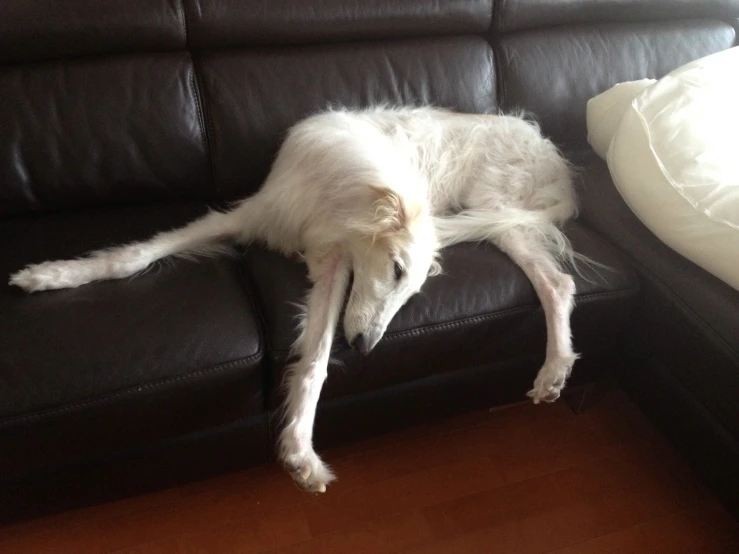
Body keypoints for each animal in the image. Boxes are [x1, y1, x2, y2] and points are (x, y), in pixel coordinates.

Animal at [8, 104, 580, 492]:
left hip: (499, 212)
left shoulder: (332, 263)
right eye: (396, 270)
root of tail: (560, 166)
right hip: (499, 216)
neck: (350, 193)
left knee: (560, 283)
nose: (367, 349)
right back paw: (554, 372)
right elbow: (133, 258)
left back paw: (553, 372)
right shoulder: (269, 223)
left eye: (413, 291)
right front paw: (50, 275)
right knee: (559, 282)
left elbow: (316, 364)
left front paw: (300, 453)